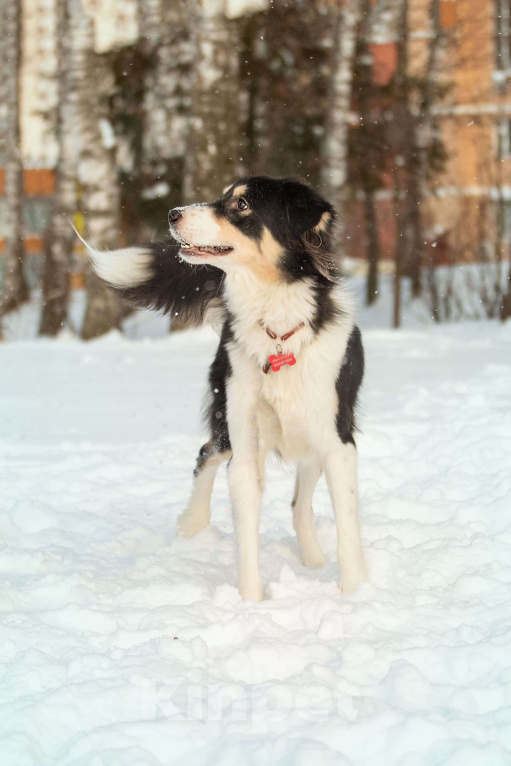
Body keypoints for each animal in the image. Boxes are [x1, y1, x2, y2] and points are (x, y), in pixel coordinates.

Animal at [87, 177, 368, 604]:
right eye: (223, 196)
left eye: (242, 205)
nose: (172, 213)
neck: (277, 334)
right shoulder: (245, 441)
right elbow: (246, 528)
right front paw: (250, 602)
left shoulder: (338, 442)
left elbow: (347, 525)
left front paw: (354, 593)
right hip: (227, 423)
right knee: (206, 454)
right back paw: (191, 522)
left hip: (313, 440)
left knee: (299, 502)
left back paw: (314, 558)